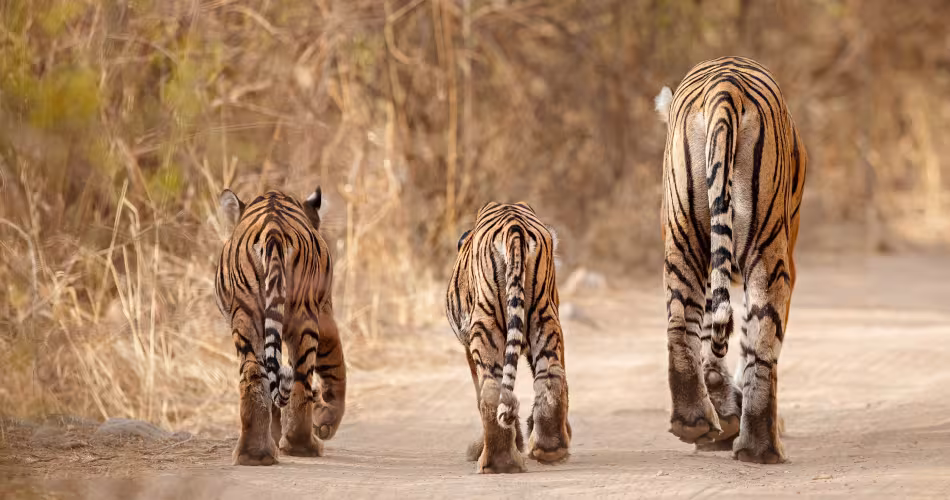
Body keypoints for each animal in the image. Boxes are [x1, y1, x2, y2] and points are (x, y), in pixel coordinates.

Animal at [215, 187, 346, 466]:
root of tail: (273, 229)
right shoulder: (325, 311)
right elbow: (335, 365)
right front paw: (326, 421)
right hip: (303, 314)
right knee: (301, 379)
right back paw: (303, 445)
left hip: (247, 316)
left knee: (254, 375)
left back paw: (254, 454)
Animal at [445, 201, 571, 474]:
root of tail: (513, 224)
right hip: (543, 318)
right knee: (551, 377)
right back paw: (548, 449)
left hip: (486, 326)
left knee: (490, 390)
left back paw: (498, 462)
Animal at [655, 56, 807, 464]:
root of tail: (726, 86)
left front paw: (722, 416)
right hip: (769, 250)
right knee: (764, 340)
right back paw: (761, 447)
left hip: (684, 235)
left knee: (681, 322)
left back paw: (694, 421)